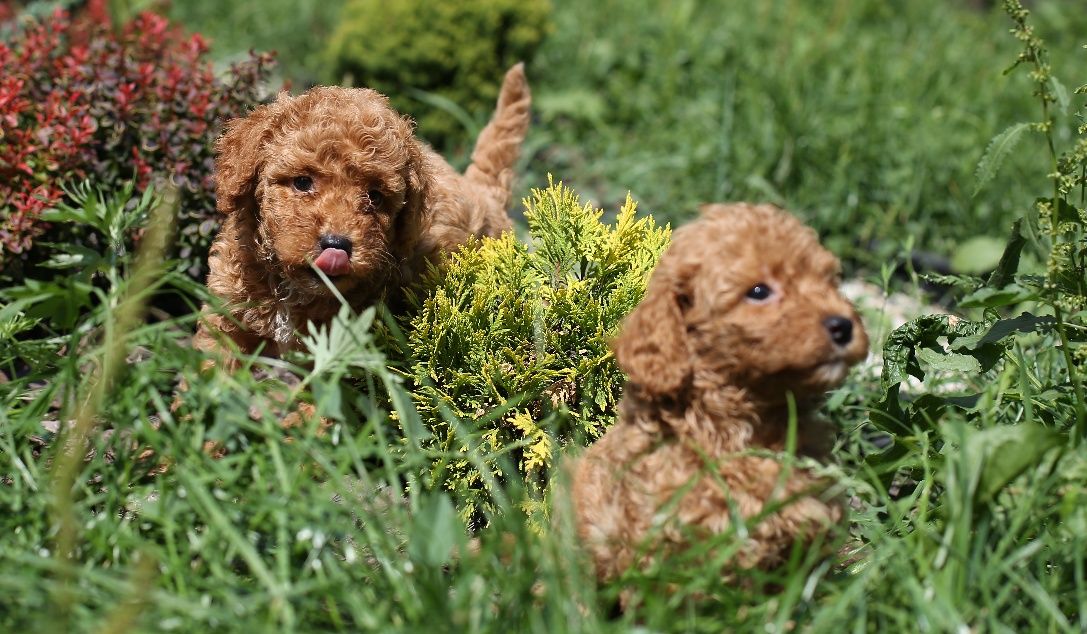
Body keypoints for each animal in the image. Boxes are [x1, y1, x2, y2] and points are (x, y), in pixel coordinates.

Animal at [197, 65, 536, 367]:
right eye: (302, 182)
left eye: (375, 196)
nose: (337, 245)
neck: (290, 289)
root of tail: (485, 192)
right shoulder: (228, 312)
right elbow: (216, 366)